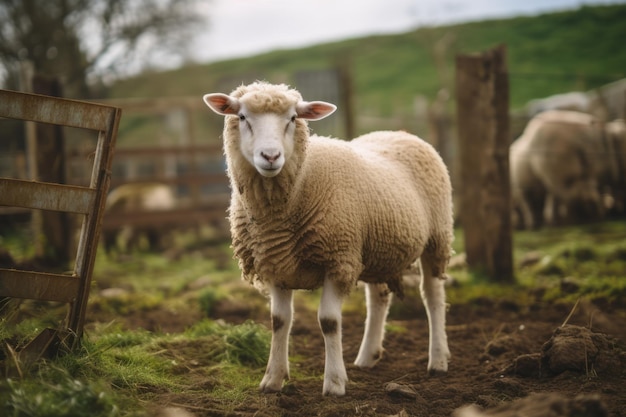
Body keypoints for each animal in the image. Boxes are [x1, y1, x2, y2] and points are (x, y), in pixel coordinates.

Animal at [202, 79, 450, 394]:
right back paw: (367, 357)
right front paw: (272, 379)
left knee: (432, 295)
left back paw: (438, 360)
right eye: (243, 117)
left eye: (292, 118)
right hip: (374, 247)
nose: (270, 157)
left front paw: (334, 382)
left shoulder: (337, 259)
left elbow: (329, 322)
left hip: (436, 237)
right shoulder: (277, 261)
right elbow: (279, 321)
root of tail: (398, 133)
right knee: (378, 298)